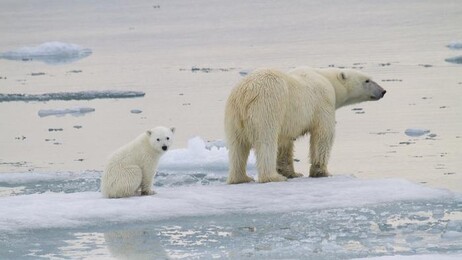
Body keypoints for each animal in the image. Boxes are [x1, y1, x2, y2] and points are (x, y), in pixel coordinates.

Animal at [224, 68, 386, 184]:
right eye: (367, 80)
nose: (383, 91)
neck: (327, 79)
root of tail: (245, 93)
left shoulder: (288, 122)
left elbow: (285, 143)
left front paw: (292, 173)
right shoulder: (323, 103)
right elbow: (323, 135)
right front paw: (321, 172)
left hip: (233, 115)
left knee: (237, 146)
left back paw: (241, 178)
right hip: (267, 107)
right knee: (266, 141)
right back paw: (272, 177)